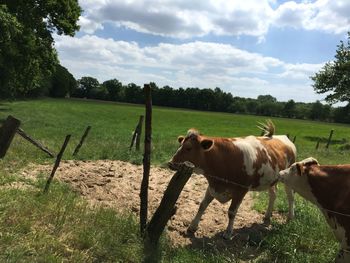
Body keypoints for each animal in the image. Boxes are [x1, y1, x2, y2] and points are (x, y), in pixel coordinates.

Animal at [168, 120, 296, 240]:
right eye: (179, 146)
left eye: (188, 148)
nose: (170, 163)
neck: (224, 158)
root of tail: (283, 137)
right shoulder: (213, 186)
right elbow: (202, 205)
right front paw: (192, 226)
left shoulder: (241, 190)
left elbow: (231, 212)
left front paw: (228, 233)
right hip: (271, 181)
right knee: (273, 195)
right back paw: (267, 216)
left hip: (288, 180)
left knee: (290, 198)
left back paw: (290, 217)